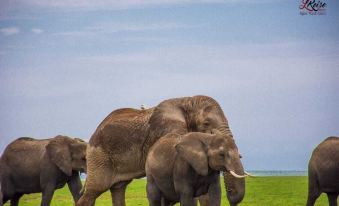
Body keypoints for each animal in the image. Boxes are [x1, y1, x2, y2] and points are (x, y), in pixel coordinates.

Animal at [77, 95, 247, 206]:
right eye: (206, 123)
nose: (231, 193)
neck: (187, 100)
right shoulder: (165, 130)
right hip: (99, 157)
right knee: (94, 190)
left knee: (118, 188)